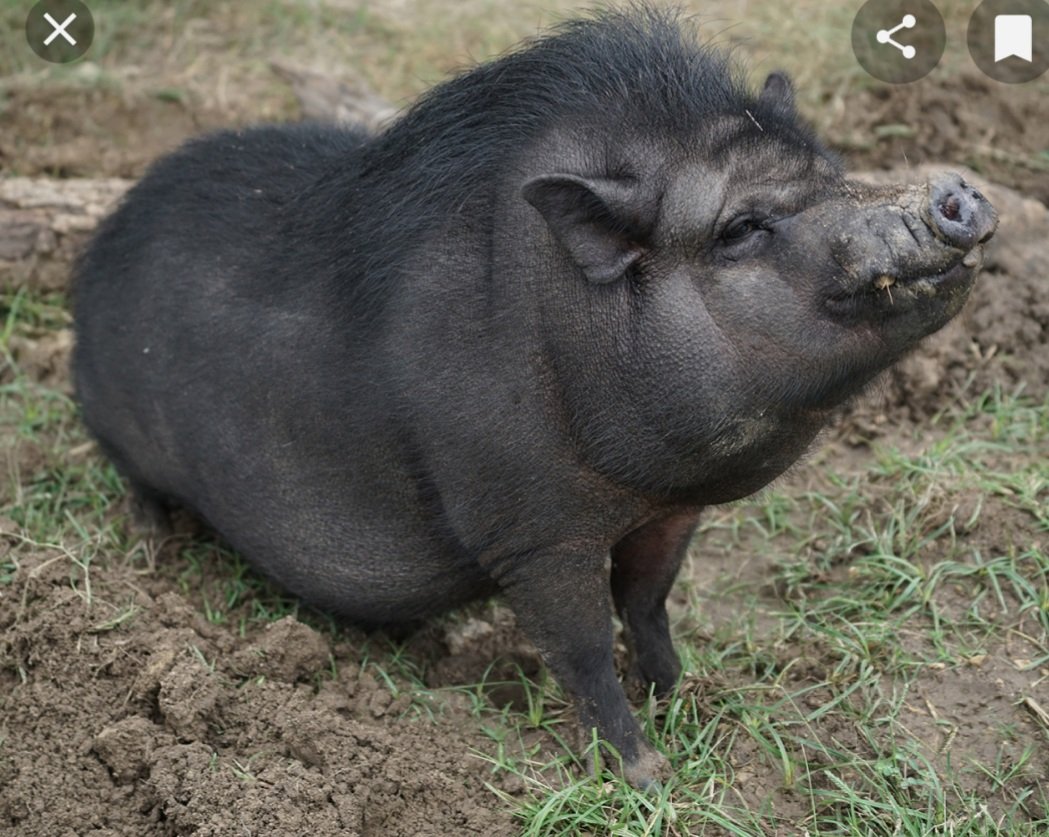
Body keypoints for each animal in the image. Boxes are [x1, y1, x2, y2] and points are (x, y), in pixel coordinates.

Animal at [71, 7, 997, 789]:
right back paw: (152, 553)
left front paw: (684, 694)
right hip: (115, 430)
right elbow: (579, 646)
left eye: (833, 173)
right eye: (739, 228)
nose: (952, 193)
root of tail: (101, 241)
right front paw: (646, 773)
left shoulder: (669, 511)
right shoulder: (530, 531)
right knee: (136, 486)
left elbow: (647, 603)